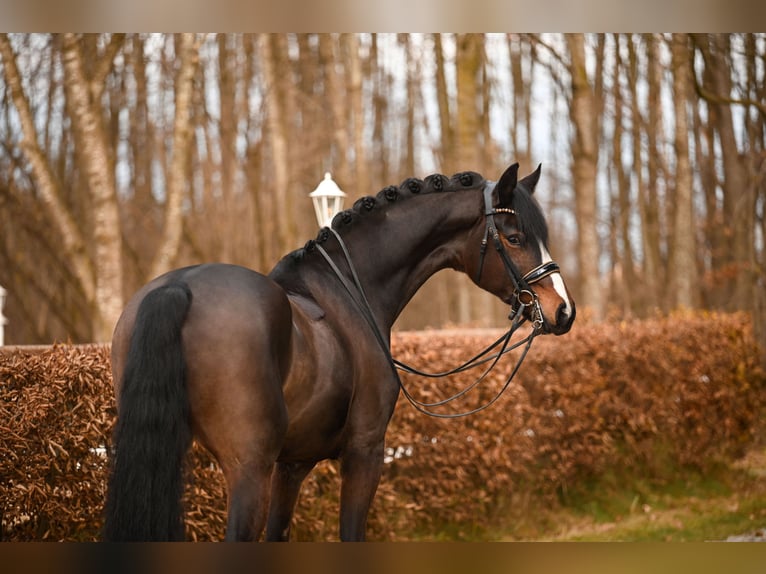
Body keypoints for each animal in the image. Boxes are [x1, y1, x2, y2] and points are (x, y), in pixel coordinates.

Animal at [105, 163, 580, 544]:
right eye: (514, 237)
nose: (563, 310)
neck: (350, 290)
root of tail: (177, 289)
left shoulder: (292, 464)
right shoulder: (364, 451)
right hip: (248, 468)